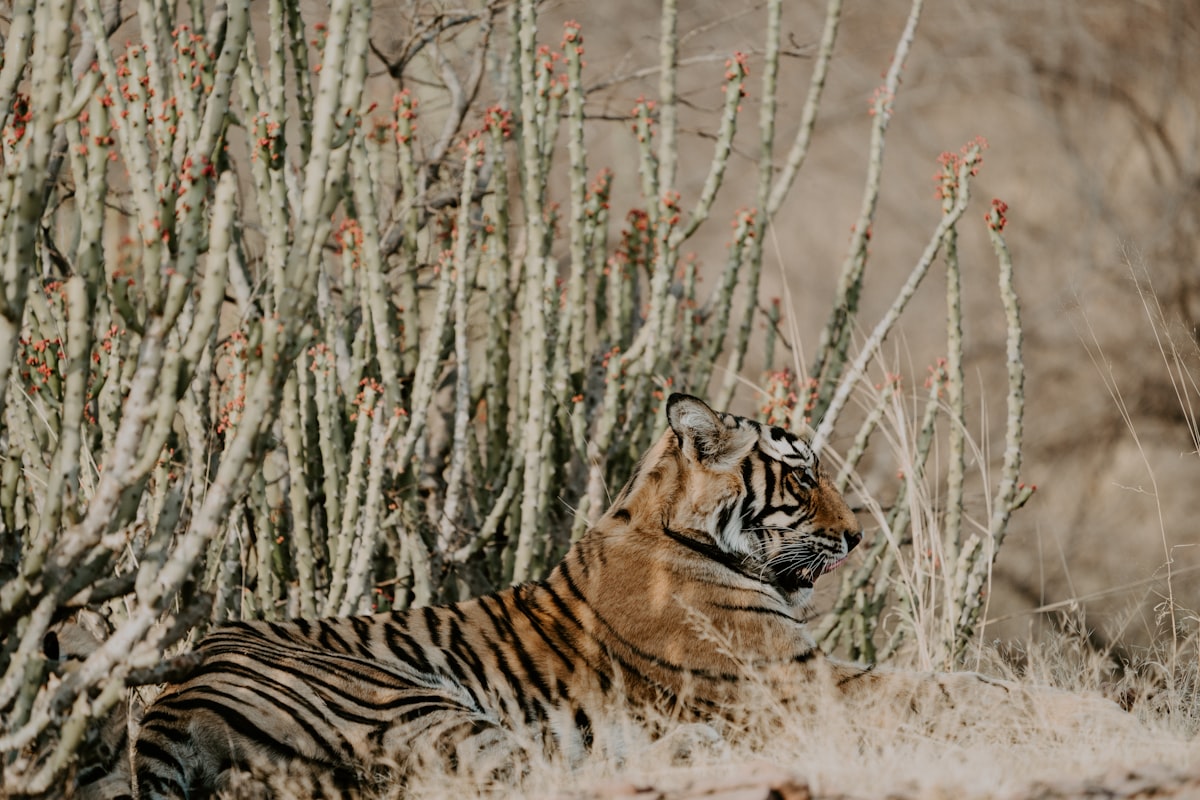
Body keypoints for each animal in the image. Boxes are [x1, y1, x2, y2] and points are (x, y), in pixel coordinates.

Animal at [131, 393, 1134, 798]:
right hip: (415, 705)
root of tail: (175, 692)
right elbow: (959, 689)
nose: (858, 535)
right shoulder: (801, 683)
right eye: (802, 474)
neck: (674, 526)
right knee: (535, 775)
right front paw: (1098, 717)